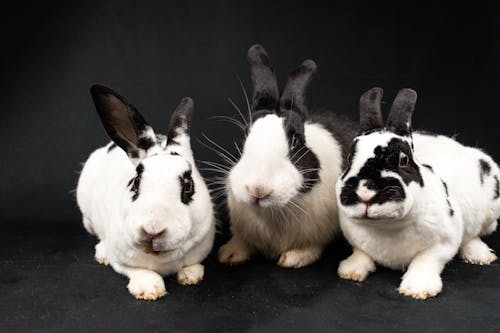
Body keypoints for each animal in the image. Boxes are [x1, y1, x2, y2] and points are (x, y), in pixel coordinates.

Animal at [76, 84, 215, 300]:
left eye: (188, 186)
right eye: (135, 183)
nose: (152, 229)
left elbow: (193, 265)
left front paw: (191, 276)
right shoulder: (122, 260)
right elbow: (136, 270)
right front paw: (148, 289)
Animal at [219, 44, 360, 268]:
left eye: (295, 142)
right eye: (245, 135)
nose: (257, 189)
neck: (273, 212)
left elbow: (311, 246)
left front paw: (294, 258)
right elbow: (241, 241)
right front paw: (229, 254)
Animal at [334, 87, 498, 300]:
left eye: (403, 159)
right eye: (349, 159)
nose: (365, 193)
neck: (386, 226)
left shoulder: (444, 243)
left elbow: (426, 261)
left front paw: (417, 289)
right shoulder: (356, 241)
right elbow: (361, 254)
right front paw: (350, 270)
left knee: (474, 235)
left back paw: (481, 256)